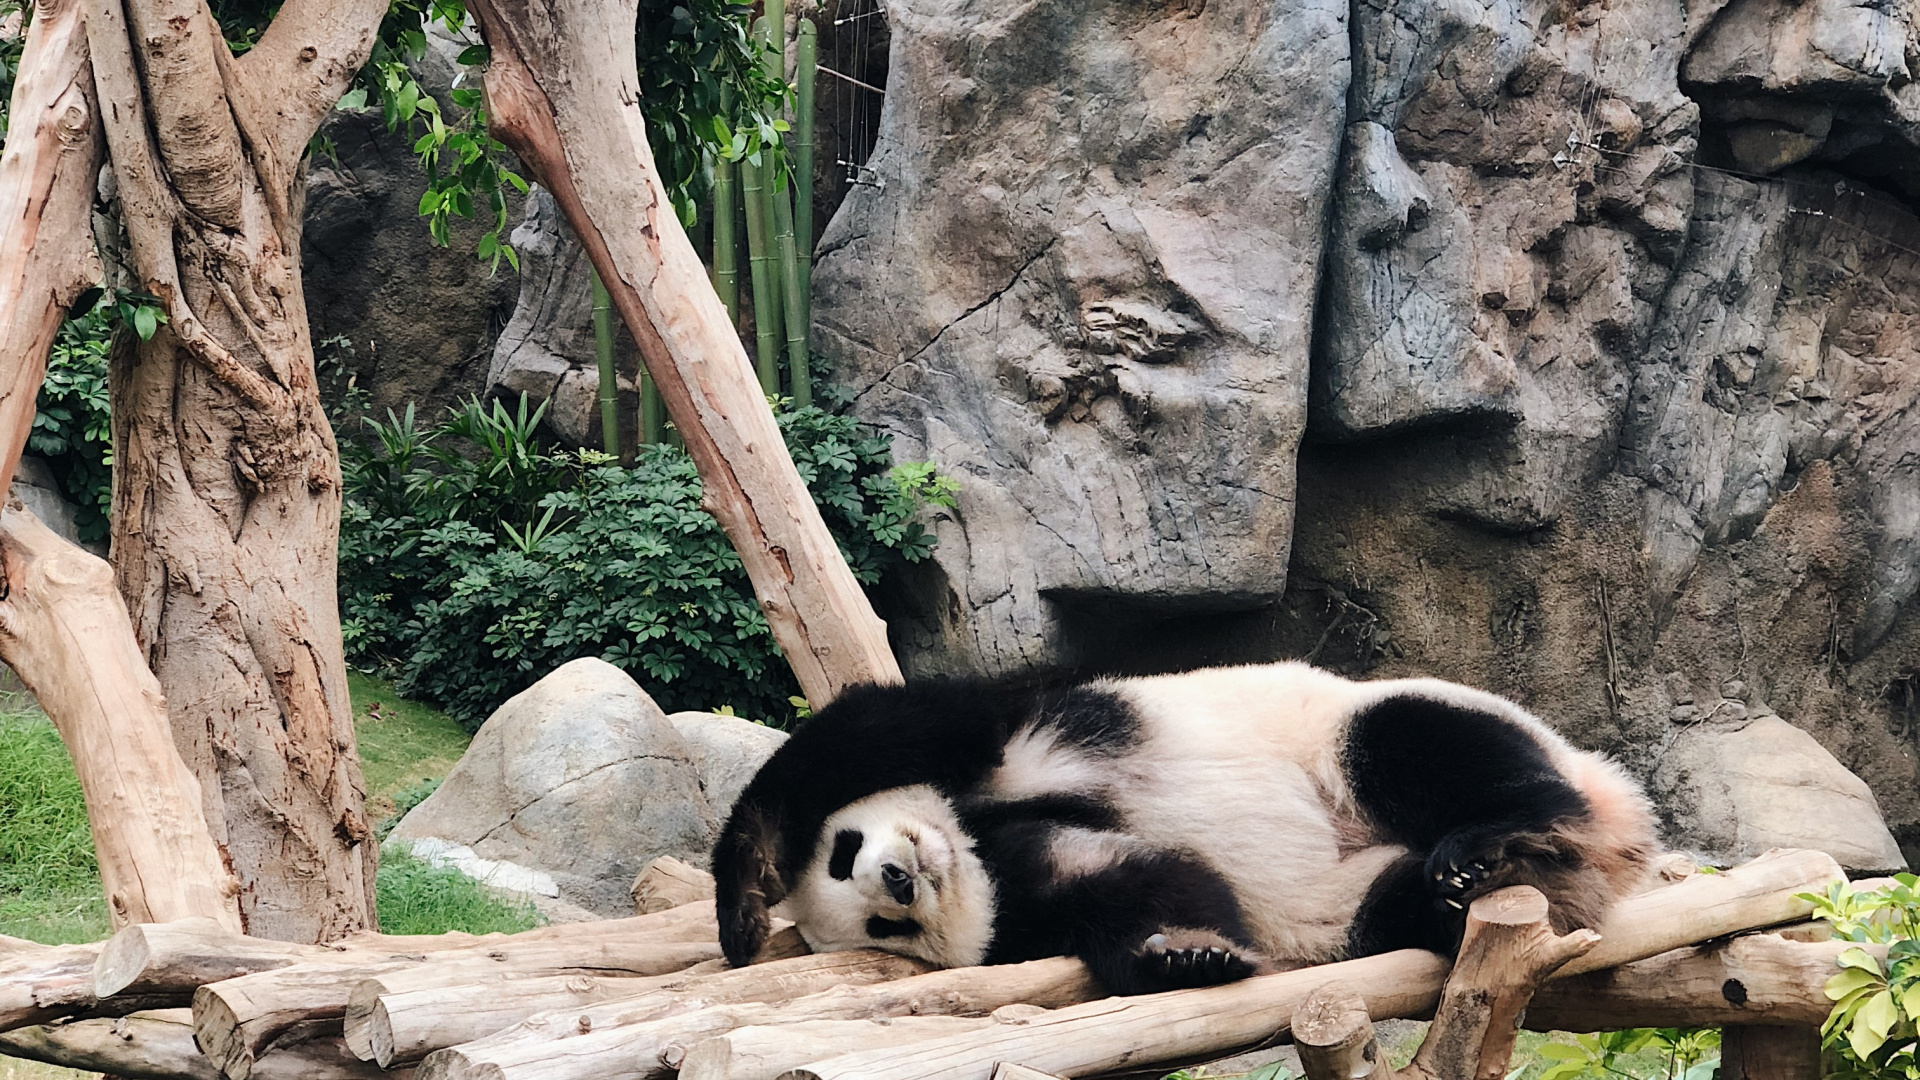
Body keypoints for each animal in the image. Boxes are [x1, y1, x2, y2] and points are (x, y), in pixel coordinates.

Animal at [713, 662, 1659, 995]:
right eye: (882, 928)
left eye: (845, 853)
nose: (902, 880)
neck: (971, 837)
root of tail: (1619, 844)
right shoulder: (1022, 896)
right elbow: (1143, 882)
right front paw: (1187, 956)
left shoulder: (1014, 737)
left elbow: (878, 731)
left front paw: (745, 902)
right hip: (1356, 899)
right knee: (1394, 906)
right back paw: (1466, 893)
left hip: (1349, 728)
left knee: (1414, 743)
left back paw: (1496, 835)